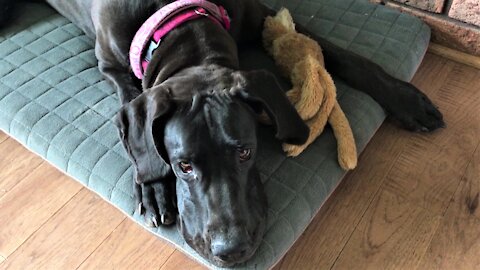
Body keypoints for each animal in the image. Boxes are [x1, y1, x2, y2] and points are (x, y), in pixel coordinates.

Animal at [5, 0, 444, 266]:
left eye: (246, 152)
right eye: (183, 166)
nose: (230, 251)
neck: (178, 26)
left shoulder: (259, 15)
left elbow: (342, 53)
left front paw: (407, 100)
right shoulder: (111, 65)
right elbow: (134, 111)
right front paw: (154, 188)